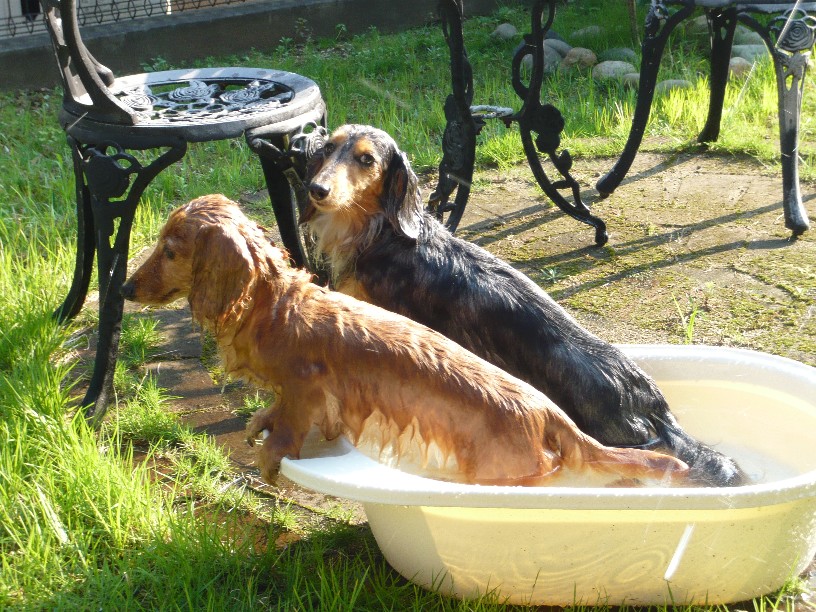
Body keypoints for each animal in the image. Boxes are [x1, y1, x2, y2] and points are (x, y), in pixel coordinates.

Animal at [121, 194, 690, 487]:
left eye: (170, 249)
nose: (123, 288)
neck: (276, 305)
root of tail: (550, 412)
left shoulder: (306, 383)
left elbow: (292, 423)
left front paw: (272, 455)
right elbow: (279, 410)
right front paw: (261, 422)